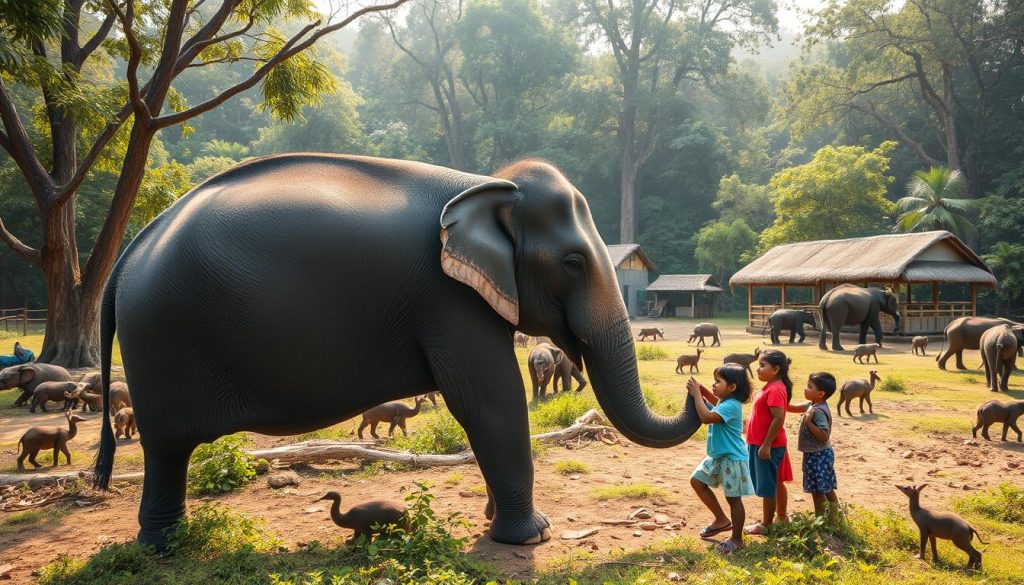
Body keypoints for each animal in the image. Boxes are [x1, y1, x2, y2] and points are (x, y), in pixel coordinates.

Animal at [92, 154, 702, 551]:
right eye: (573, 262)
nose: (700, 385)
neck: (486, 183)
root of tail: (129, 254)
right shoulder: (448, 300)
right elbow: (491, 402)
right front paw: (532, 535)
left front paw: (498, 522)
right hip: (161, 343)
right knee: (166, 447)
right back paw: (163, 547)